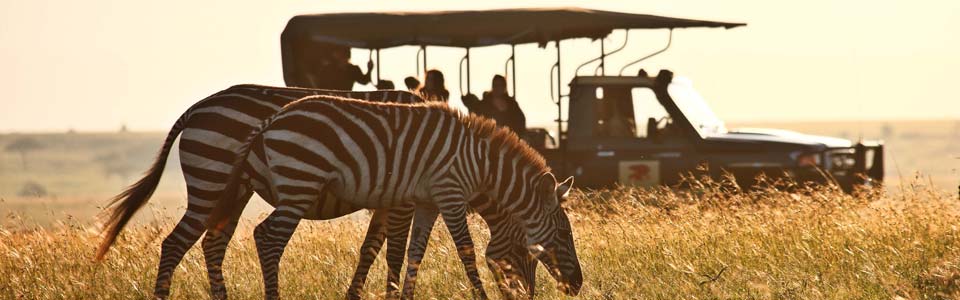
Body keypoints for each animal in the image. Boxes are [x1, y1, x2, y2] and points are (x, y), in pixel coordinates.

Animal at [96, 84, 536, 300]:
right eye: (529, 253)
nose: (531, 295)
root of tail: (196, 108)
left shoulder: (389, 199)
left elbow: (370, 248)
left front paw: (354, 295)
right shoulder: (403, 199)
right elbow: (394, 251)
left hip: (232, 192)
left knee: (212, 244)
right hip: (213, 179)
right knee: (179, 244)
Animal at [206, 95, 584, 298]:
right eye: (564, 233)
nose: (578, 286)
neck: (480, 164)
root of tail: (271, 120)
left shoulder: (428, 202)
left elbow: (416, 253)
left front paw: (406, 296)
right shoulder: (450, 194)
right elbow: (465, 251)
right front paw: (481, 295)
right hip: (300, 183)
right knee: (268, 238)